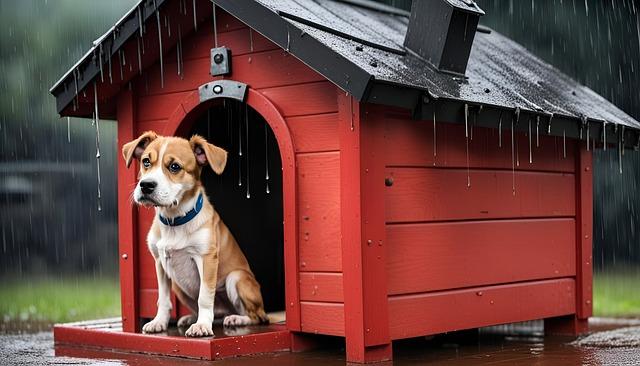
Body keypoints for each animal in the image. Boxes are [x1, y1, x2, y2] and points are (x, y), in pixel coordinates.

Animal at [122, 129, 268, 338]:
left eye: (175, 167)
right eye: (146, 162)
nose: (146, 185)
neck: (174, 221)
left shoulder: (206, 259)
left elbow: (205, 298)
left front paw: (202, 326)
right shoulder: (160, 263)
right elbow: (163, 299)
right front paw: (159, 322)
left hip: (237, 278)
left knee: (257, 317)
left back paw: (236, 319)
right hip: (179, 286)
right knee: (217, 313)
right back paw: (192, 318)